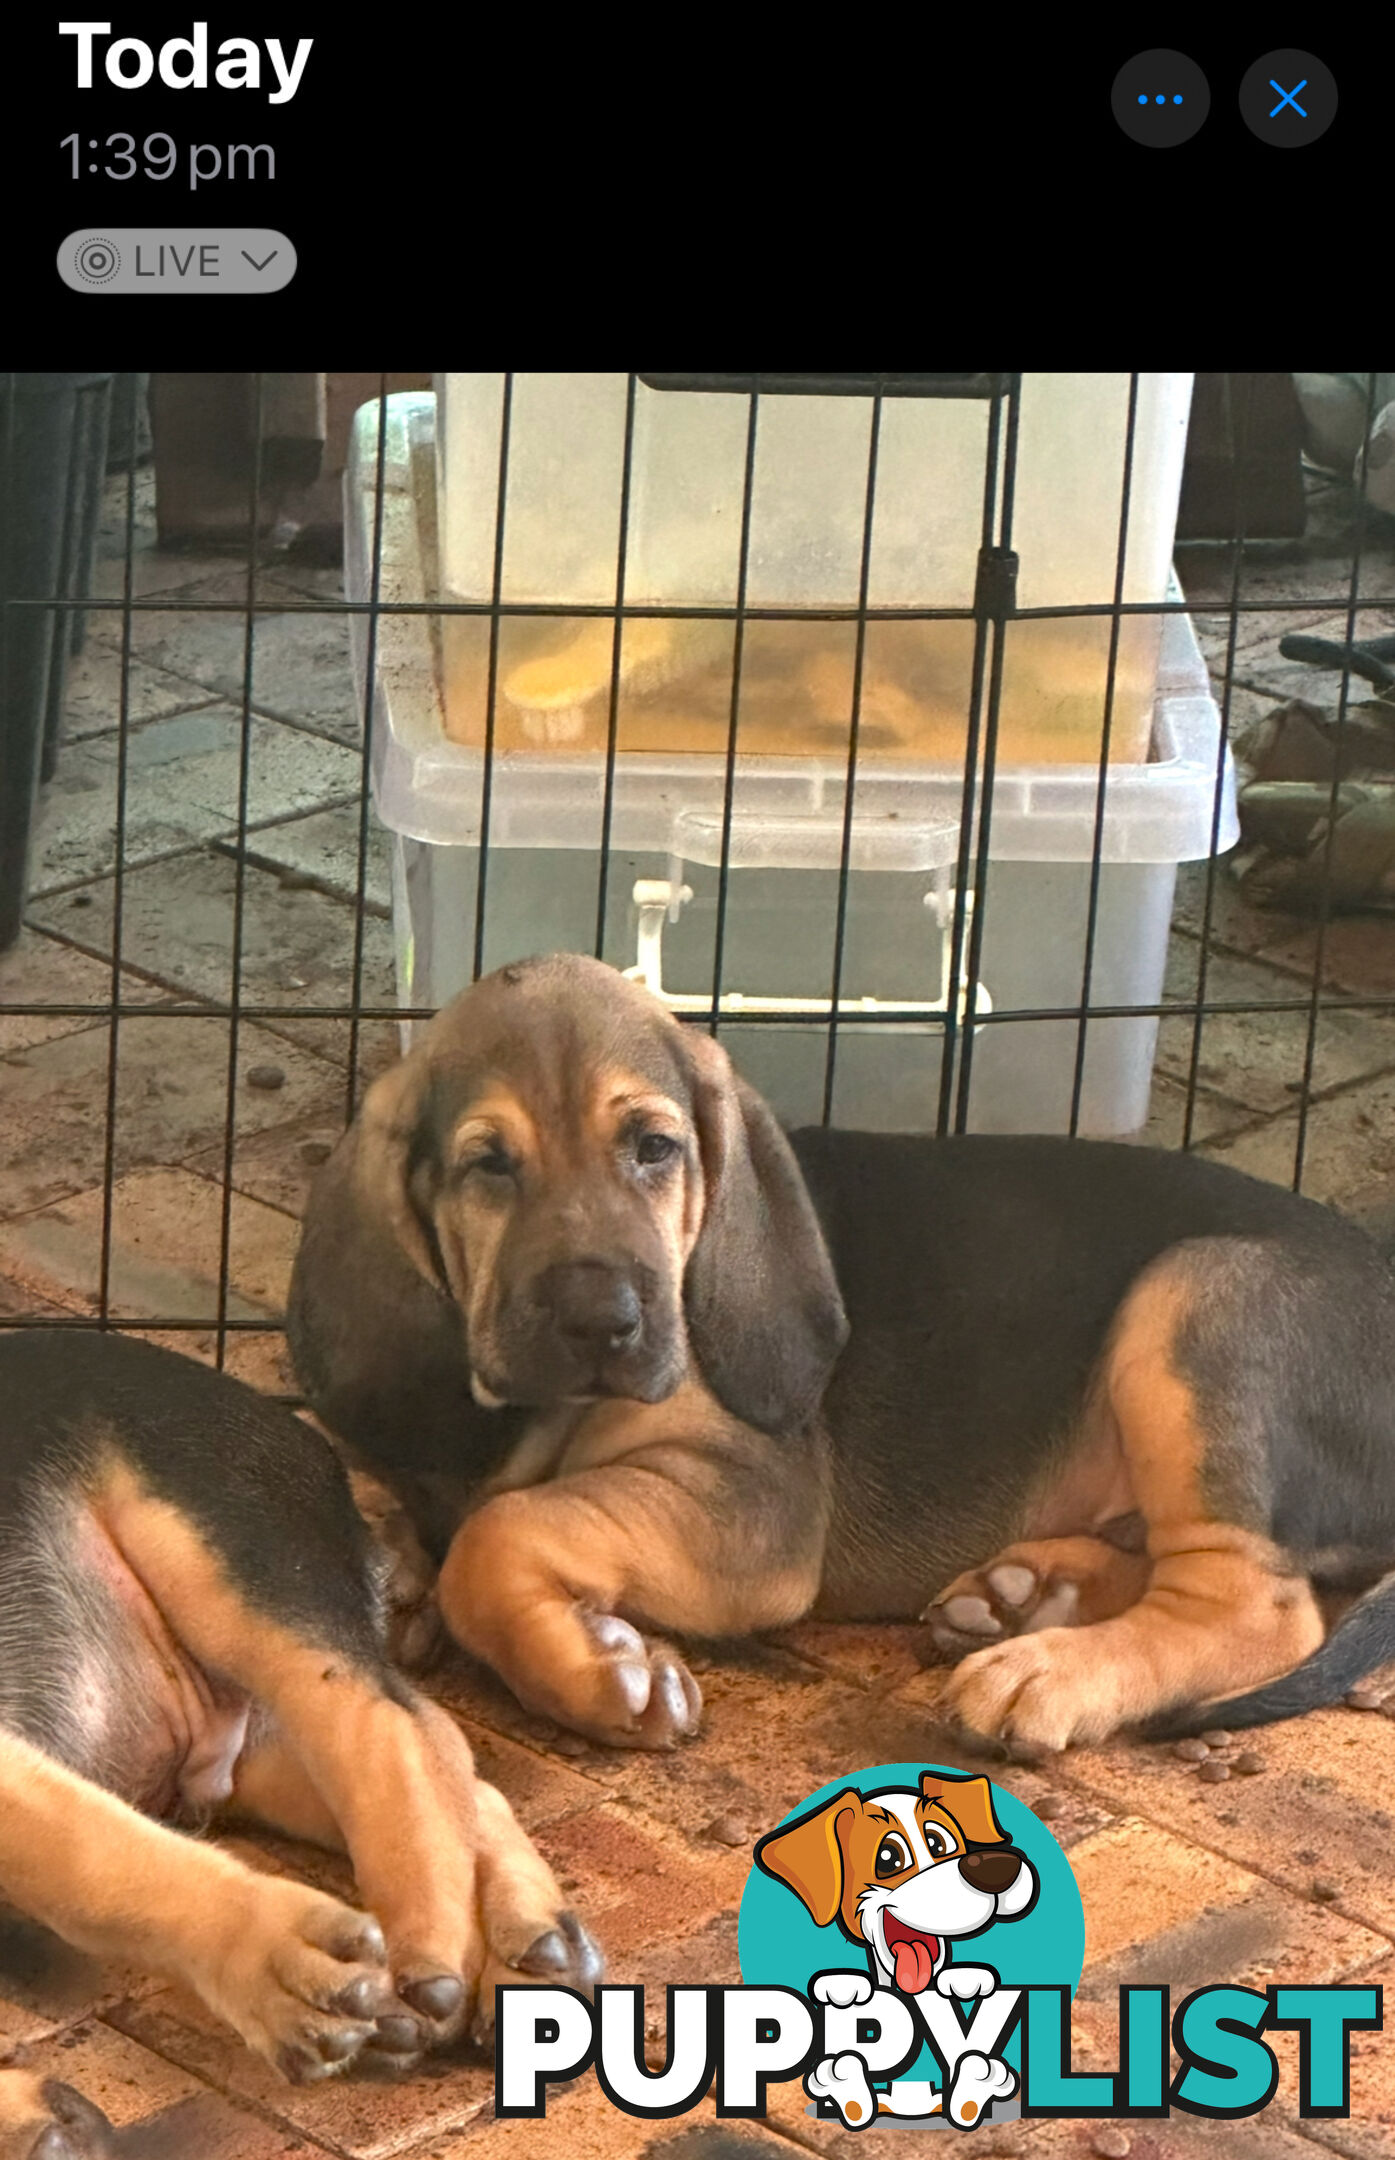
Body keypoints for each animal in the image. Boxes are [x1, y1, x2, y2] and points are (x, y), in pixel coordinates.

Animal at [0, 1330, 600, 2160]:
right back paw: (527, 1943)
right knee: (459, 1769)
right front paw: (33, 2121)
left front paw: (276, 1967)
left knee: (389, 1719)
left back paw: (432, 1945)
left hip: (229, 1547)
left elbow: (72, 1848)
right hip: (253, 1758)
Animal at [287, 954, 1395, 1762]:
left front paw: (601, 1672)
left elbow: (502, 1532)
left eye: (654, 1148)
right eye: (489, 1166)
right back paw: (1029, 1597)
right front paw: (396, 1558)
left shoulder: (751, 1497)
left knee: (1255, 1605)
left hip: (1200, 1294)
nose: (605, 1320)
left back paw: (1049, 1670)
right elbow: (347, 1461)